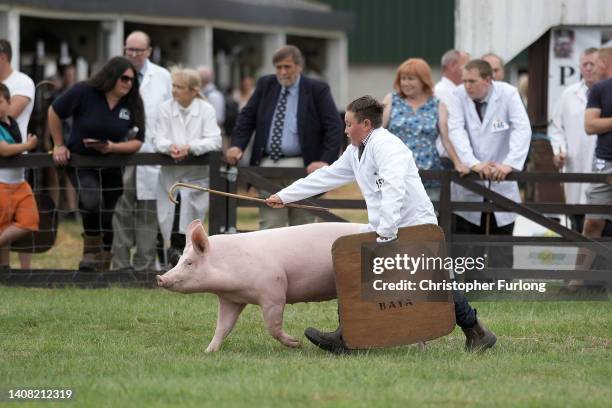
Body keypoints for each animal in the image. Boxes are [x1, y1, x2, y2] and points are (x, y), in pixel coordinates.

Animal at [157, 218, 364, 352]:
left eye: (189, 262)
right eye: (179, 260)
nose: (160, 278)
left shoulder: (274, 290)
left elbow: (272, 325)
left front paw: (297, 343)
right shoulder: (230, 300)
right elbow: (223, 326)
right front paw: (208, 351)